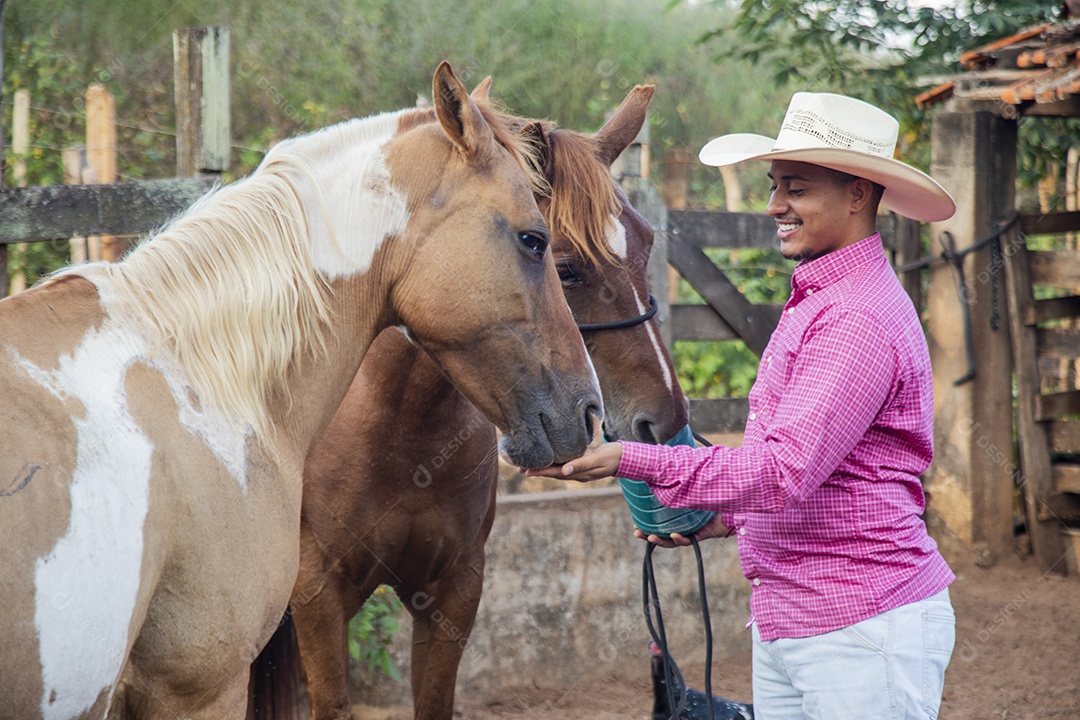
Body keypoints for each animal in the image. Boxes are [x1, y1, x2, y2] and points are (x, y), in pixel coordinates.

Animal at [252, 84, 686, 720]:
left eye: (648, 243)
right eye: (562, 265)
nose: (667, 418)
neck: (400, 429)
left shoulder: (454, 592)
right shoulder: (318, 597)